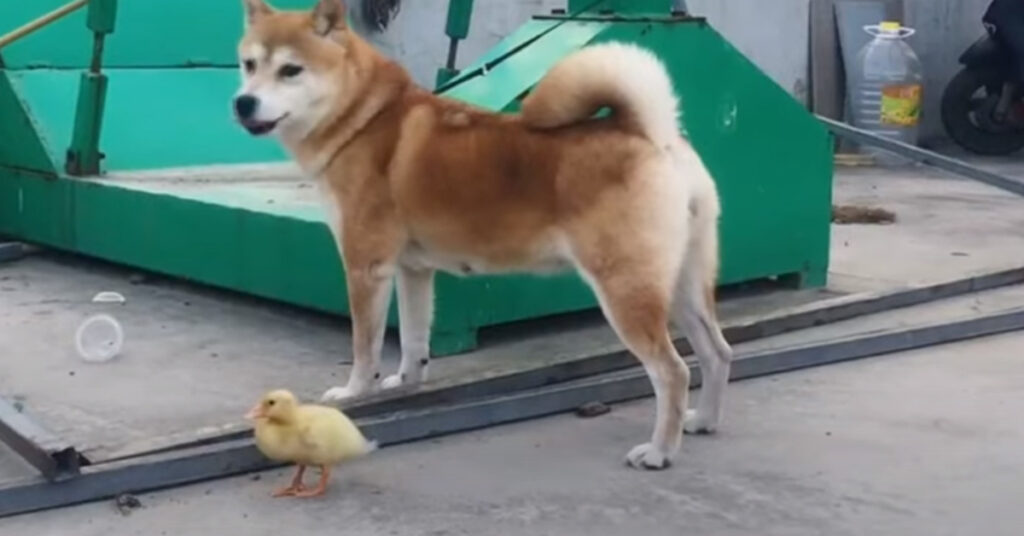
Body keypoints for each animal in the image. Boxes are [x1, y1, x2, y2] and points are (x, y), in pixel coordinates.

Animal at [235, 0, 733, 469]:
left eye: (290, 70)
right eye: (249, 64)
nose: (242, 102)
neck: (364, 118)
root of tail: (653, 135)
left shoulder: (366, 265)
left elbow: (365, 345)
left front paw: (356, 391)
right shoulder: (413, 270)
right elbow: (414, 339)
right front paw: (406, 383)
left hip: (626, 289)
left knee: (672, 372)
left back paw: (659, 452)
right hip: (683, 285)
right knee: (717, 353)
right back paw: (705, 420)